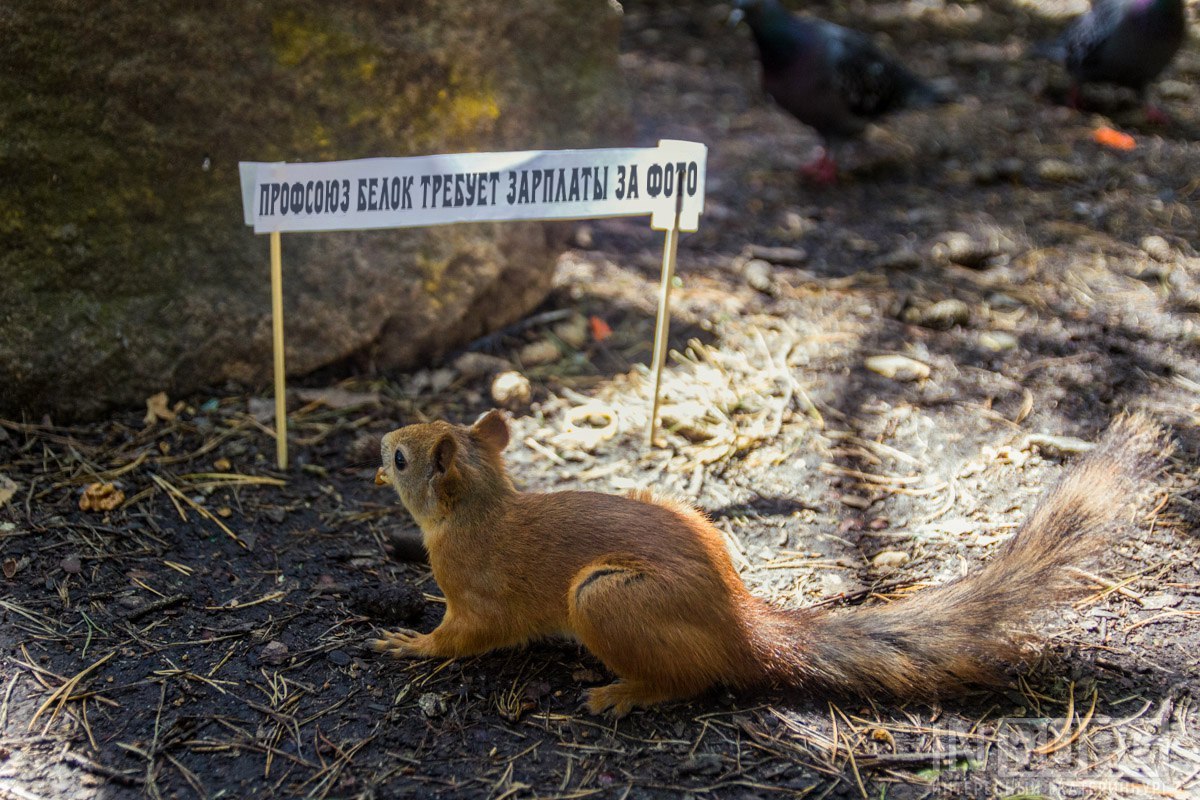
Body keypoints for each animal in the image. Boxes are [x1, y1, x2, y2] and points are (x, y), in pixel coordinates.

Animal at [372, 410, 1171, 714]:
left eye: (403, 458)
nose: (381, 444)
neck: (479, 510)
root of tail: (743, 629)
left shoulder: (478, 599)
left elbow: (462, 637)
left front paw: (408, 643)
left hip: (605, 599)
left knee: (689, 679)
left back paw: (622, 692)